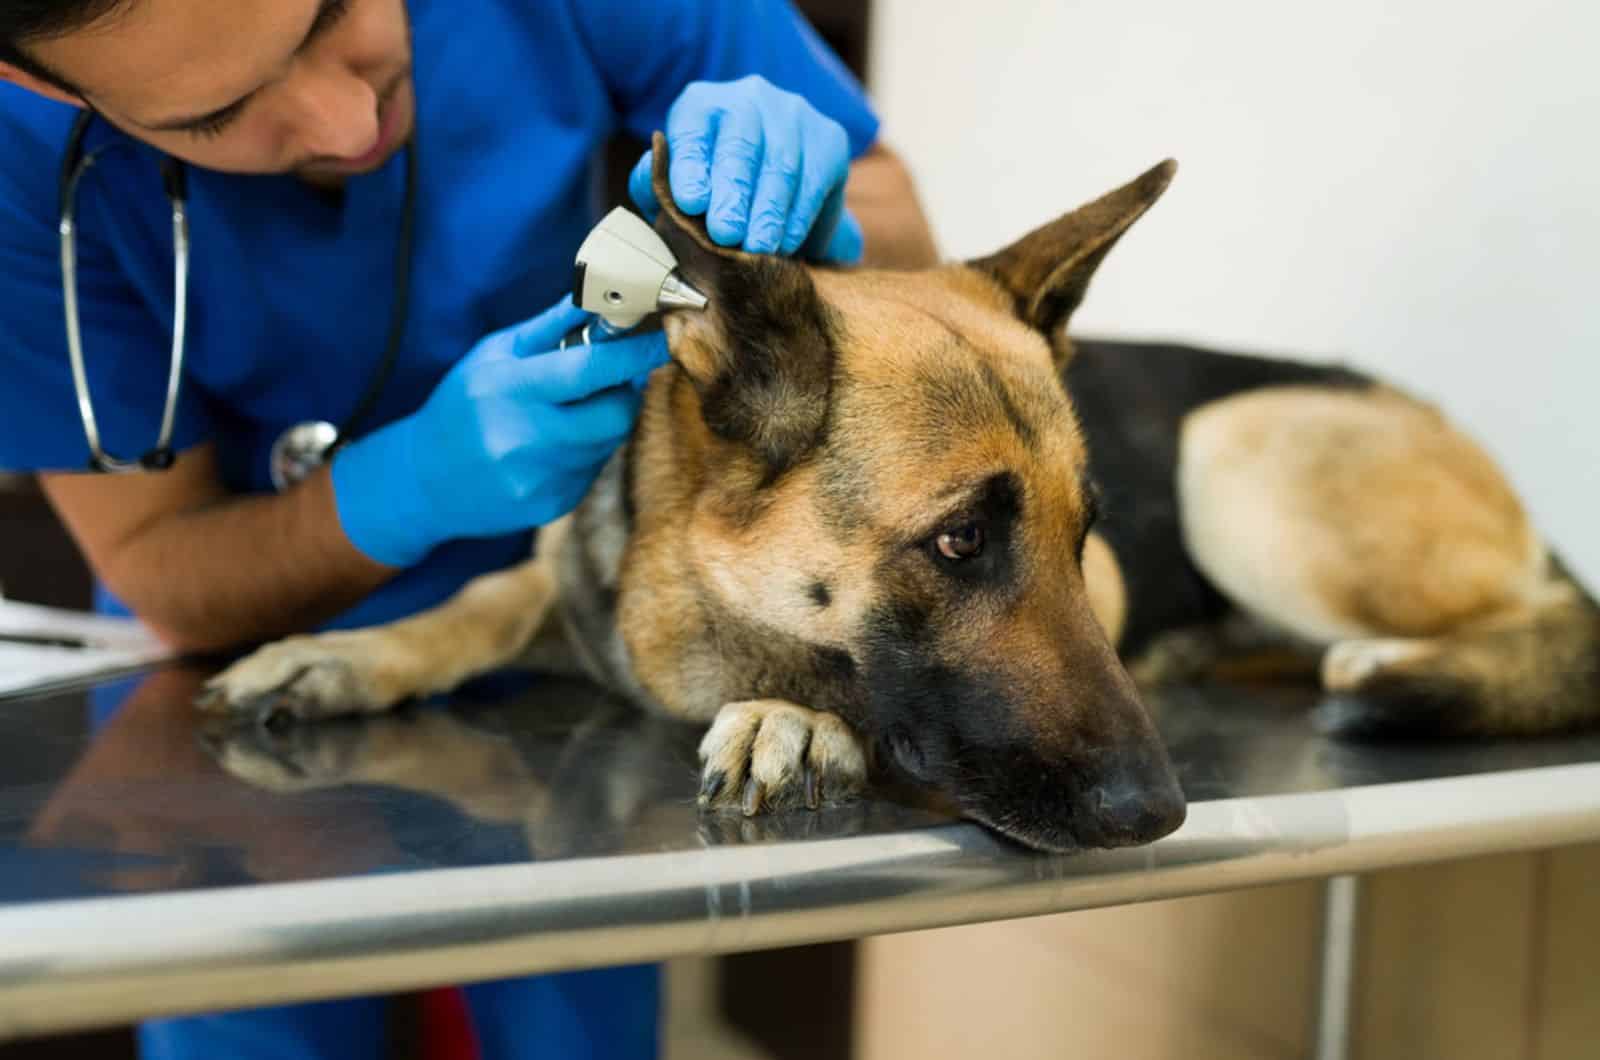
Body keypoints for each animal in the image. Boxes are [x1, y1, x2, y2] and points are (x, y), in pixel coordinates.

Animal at [203, 136, 1600, 851]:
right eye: (959, 540)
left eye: (1082, 536)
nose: (1156, 813)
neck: (699, 587)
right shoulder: (580, 586)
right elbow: (486, 596)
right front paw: (341, 653)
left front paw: (793, 716)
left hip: (1234, 452)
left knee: (1544, 620)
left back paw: (1383, 661)